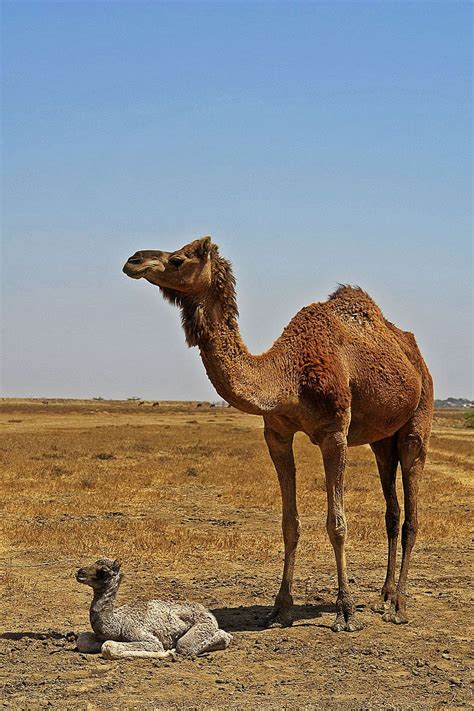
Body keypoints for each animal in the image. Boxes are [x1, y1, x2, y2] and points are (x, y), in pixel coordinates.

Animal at [75, 560, 232, 660]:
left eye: (103, 571)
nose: (80, 572)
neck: (118, 624)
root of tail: (208, 612)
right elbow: (82, 640)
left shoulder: (139, 633)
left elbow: (108, 646)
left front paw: (168, 653)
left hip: (203, 624)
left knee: (185, 645)